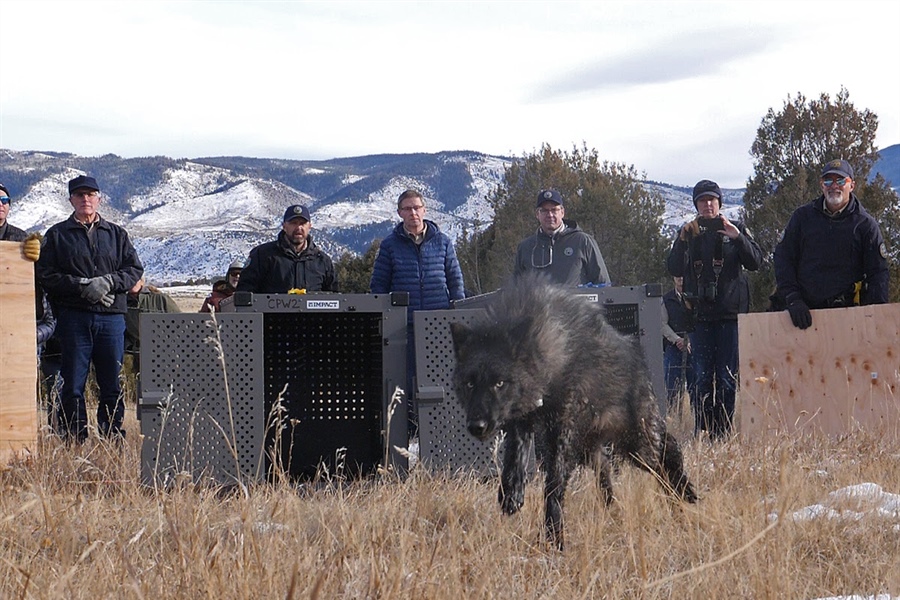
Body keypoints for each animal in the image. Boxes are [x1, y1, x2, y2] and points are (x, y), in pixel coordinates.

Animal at [454, 276, 700, 548]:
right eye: (469, 384)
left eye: (499, 383)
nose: (477, 426)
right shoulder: (522, 422)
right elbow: (514, 459)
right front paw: (512, 494)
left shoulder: (563, 433)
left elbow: (553, 485)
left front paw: (554, 537)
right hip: (597, 452)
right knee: (609, 481)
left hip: (638, 446)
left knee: (668, 458)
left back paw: (684, 495)